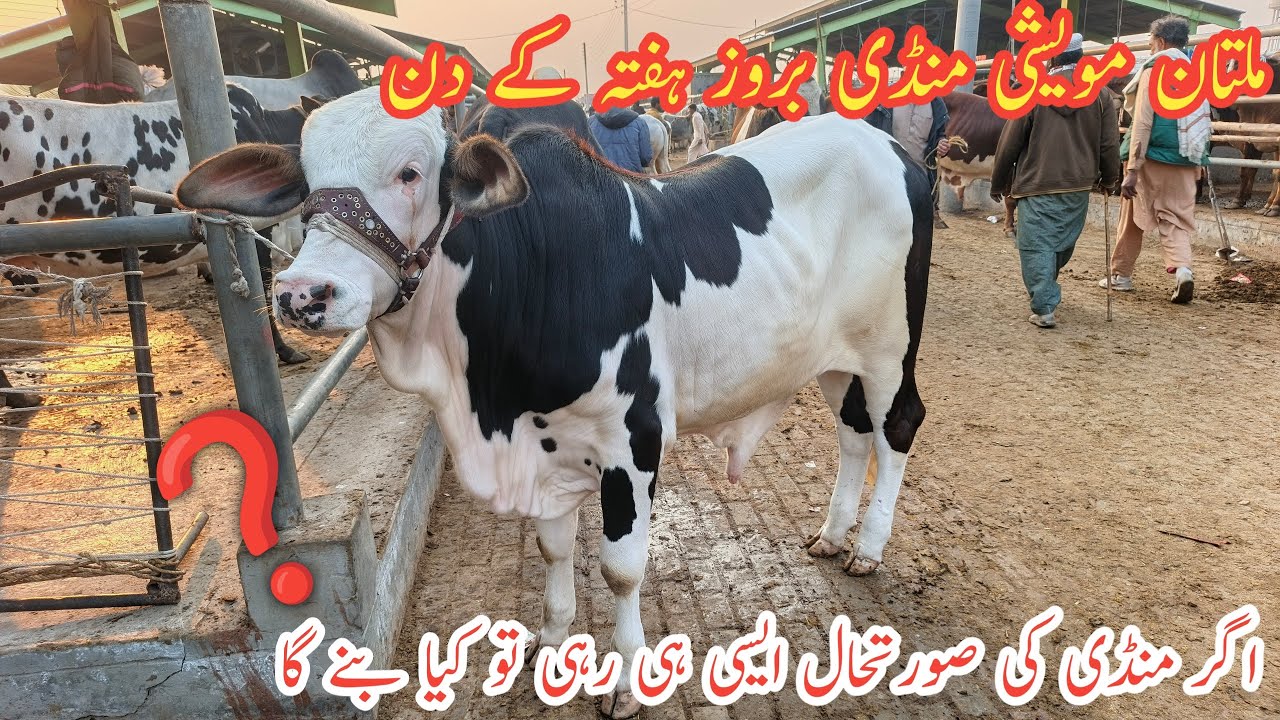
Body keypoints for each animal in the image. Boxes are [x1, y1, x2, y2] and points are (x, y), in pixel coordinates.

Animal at [176, 88, 932, 718]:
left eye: (411, 173)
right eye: (306, 179)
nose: (302, 293)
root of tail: (890, 147)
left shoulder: (633, 441)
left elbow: (621, 570)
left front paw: (626, 682)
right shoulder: (547, 449)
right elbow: (552, 547)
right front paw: (549, 643)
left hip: (890, 350)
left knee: (896, 426)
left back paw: (868, 546)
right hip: (834, 358)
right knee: (853, 433)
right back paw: (833, 534)